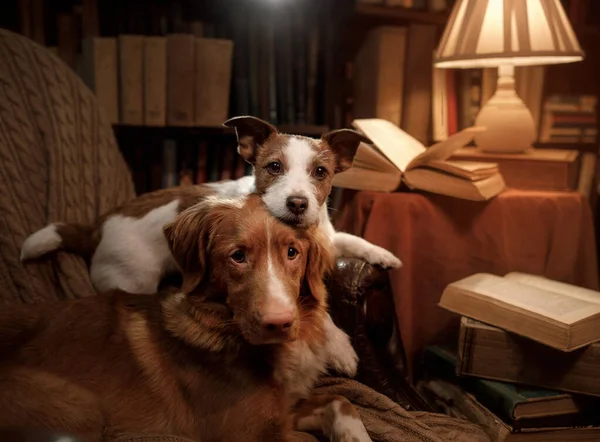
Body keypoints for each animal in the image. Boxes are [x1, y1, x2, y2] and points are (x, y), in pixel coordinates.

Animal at [0, 195, 336, 442]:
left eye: (292, 252)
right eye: (238, 256)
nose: (279, 323)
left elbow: (336, 402)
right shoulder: (250, 435)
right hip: (83, 408)